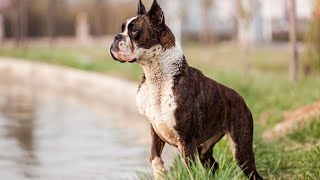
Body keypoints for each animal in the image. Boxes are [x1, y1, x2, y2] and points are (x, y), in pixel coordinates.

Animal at [109, 0, 262, 179]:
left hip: (241, 151)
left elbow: (192, 172)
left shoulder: (186, 142)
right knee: (213, 165)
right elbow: (154, 157)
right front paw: (161, 172)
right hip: (204, 149)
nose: (116, 36)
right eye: (122, 28)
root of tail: (241, 98)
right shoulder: (155, 130)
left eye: (133, 31)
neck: (158, 77)